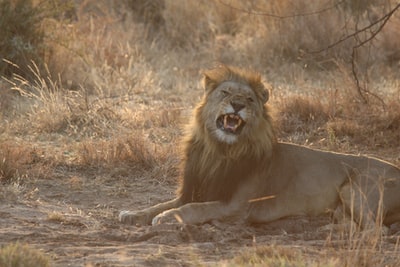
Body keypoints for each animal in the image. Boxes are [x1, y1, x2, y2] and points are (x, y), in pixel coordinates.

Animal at [119, 65, 400, 230]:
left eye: (249, 99)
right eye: (225, 92)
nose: (237, 105)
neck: (219, 150)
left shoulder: (234, 205)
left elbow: (194, 209)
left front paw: (167, 218)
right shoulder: (193, 190)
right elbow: (160, 204)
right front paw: (132, 214)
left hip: (353, 189)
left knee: (377, 230)